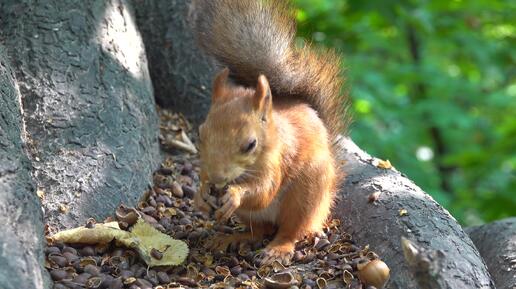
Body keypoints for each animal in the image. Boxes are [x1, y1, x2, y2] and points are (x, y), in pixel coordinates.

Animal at [189, 0, 346, 264]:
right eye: (200, 135)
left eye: (250, 144)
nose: (219, 179)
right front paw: (201, 194)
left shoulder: (277, 159)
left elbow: (264, 190)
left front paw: (235, 195)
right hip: (250, 216)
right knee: (259, 231)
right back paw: (232, 238)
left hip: (305, 196)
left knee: (291, 230)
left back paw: (277, 249)